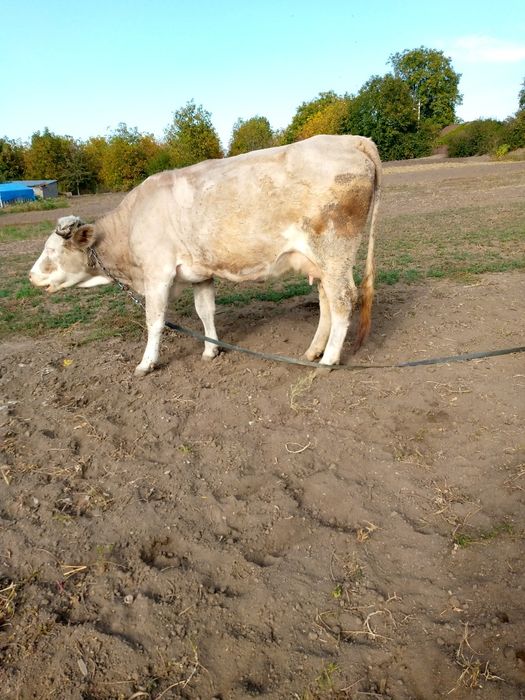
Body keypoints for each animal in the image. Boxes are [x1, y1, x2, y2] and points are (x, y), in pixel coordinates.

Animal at [29, 135, 381, 376]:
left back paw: (328, 360)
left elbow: (155, 320)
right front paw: (211, 350)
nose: (31, 275)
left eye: (52, 250)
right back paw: (313, 351)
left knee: (343, 300)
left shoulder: (158, 274)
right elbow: (205, 311)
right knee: (327, 301)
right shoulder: (201, 273)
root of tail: (349, 139)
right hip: (320, 262)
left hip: (335, 252)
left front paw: (146, 363)